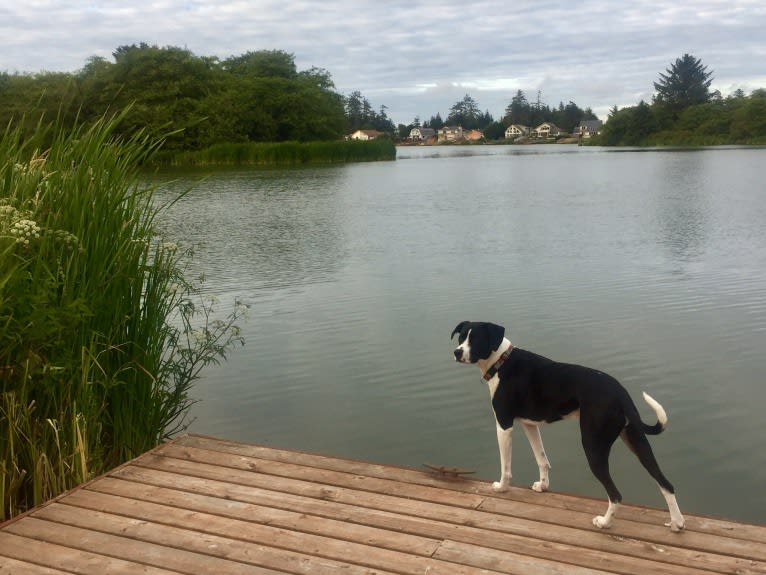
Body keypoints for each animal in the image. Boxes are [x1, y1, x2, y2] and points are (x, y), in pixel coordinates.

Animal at [452, 322, 688, 532]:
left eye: (476, 339)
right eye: (461, 337)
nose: (457, 352)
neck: (502, 362)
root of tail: (621, 394)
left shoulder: (504, 425)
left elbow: (506, 466)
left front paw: (501, 488)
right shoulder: (529, 424)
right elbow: (542, 459)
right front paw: (543, 486)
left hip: (593, 447)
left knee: (615, 494)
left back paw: (604, 523)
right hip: (637, 442)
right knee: (666, 484)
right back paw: (677, 523)